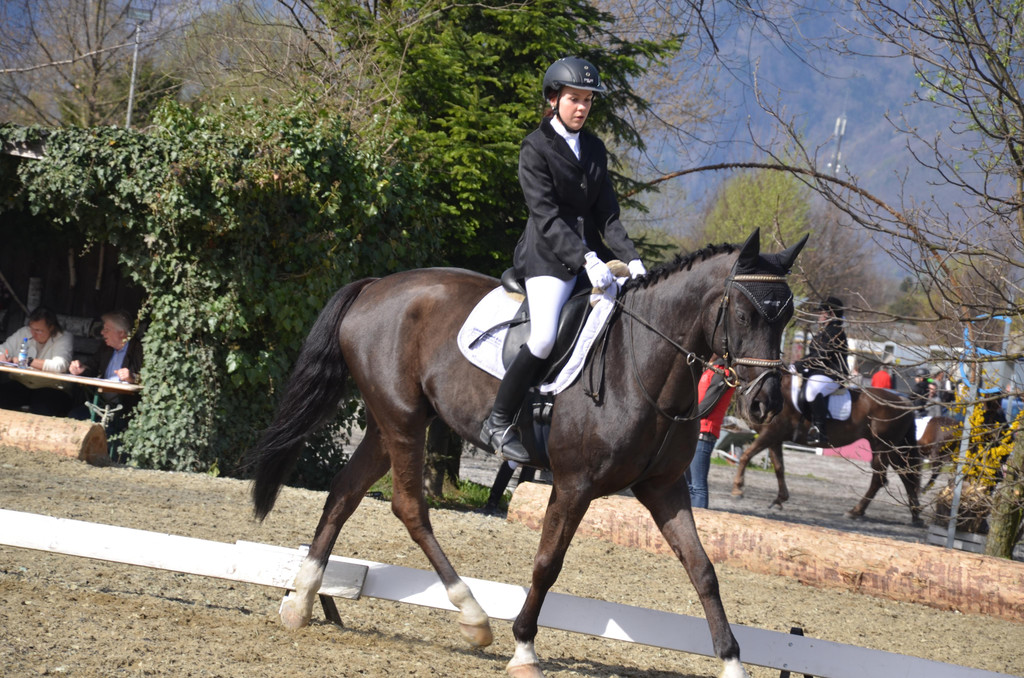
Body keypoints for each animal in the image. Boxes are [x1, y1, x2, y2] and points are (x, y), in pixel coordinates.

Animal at [246, 230, 806, 678]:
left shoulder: (664, 489)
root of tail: (377, 285)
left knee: (345, 492)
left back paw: (301, 601)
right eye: (743, 313)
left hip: (392, 423)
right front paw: (524, 650)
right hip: (403, 421)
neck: (642, 364)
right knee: (409, 507)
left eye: (787, 318)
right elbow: (546, 564)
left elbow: (703, 570)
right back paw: (473, 618)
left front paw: (732, 663)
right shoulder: (573, 485)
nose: (765, 404)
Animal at [730, 371, 924, 526]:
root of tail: (904, 400)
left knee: (879, 479)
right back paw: (916, 517)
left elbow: (745, 456)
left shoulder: (769, 434)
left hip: (883, 447)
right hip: (895, 449)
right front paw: (780, 499)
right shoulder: (775, 439)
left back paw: (855, 511)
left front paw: (738, 489)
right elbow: (779, 467)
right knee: (907, 476)